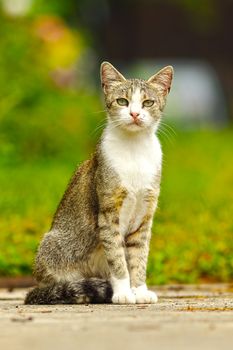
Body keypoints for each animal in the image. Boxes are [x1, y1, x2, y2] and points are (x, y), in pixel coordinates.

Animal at [24, 61, 173, 304]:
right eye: (122, 101)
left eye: (148, 102)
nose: (134, 113)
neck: (134, 151)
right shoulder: (109, 211)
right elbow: (117, 256)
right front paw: (123, 292)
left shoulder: (145, 214)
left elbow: (138, 256)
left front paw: (139, 290)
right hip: (52, 247)